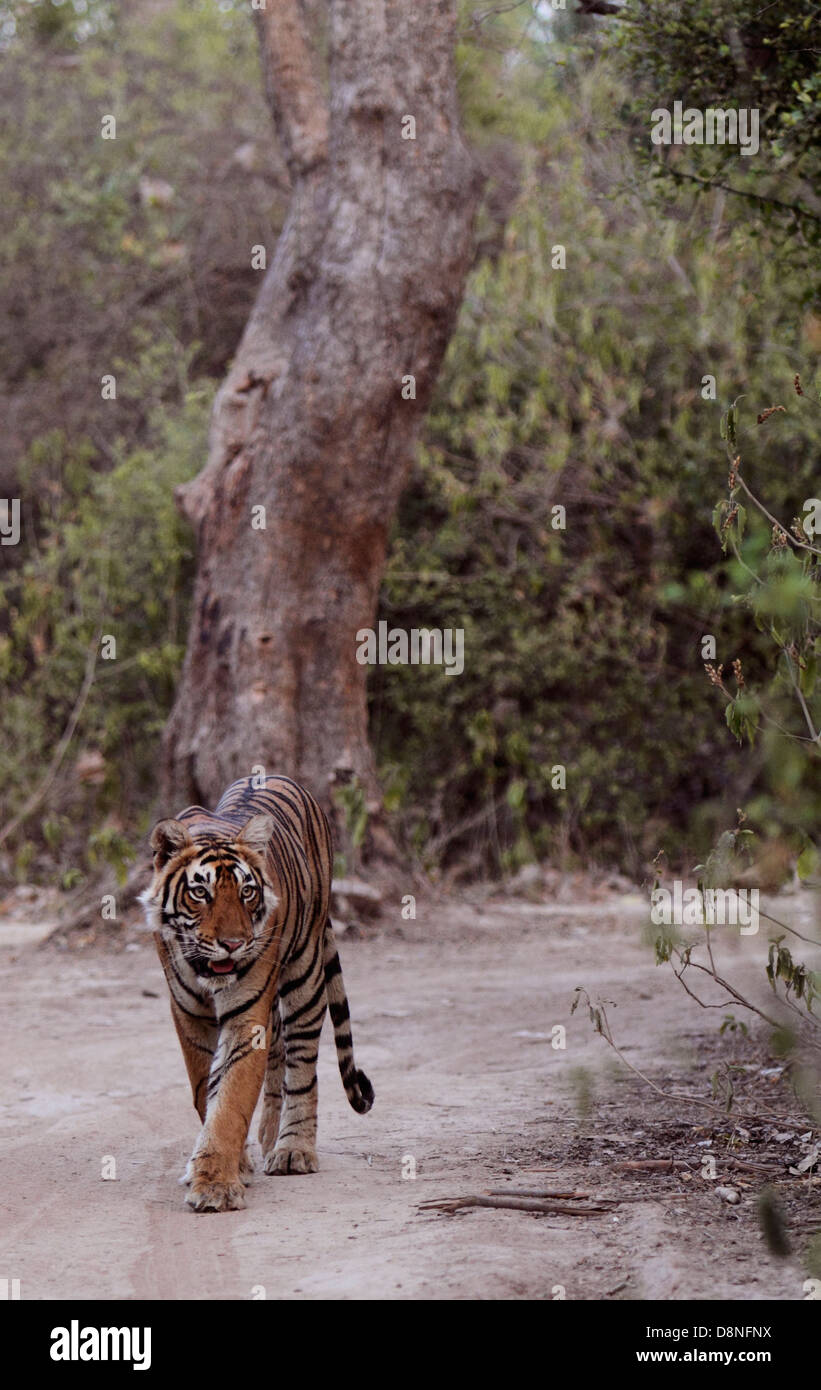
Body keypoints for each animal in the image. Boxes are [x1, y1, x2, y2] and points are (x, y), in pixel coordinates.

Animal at [139, 778, 375, 1212]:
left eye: (247, 892)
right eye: (201, 893)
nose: (233, 944)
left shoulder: (247, 1014)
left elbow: (231, 1100)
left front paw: (216, 1185)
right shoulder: (188, 1016)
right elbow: (207, 1093)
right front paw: (233, 1165)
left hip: (305, 974)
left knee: (302, 1066)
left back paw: (293, 1149)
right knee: (279, 1052)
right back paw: (266, 1139)